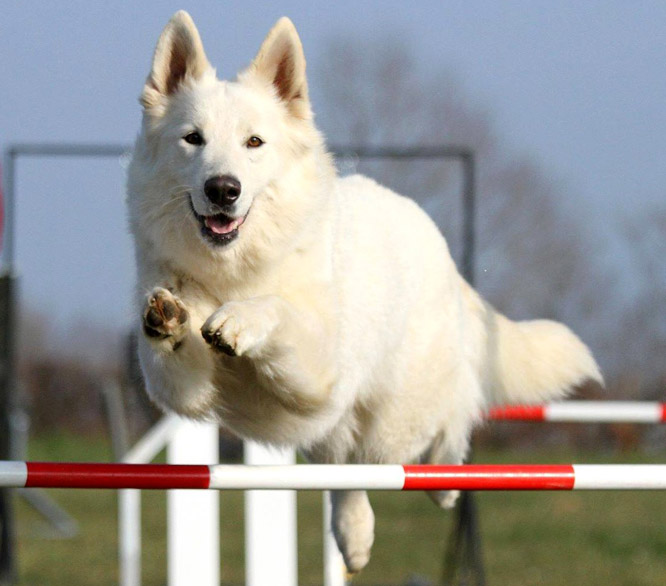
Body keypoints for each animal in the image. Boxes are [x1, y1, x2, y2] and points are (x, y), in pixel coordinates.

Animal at [126, 11, 600, 572]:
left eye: (254, 143)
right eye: (193, 139)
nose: (223, 189)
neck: (234, 273)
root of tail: (435, 241)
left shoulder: (316, 371)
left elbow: (276, 309)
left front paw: (240, 320)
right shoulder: (184, 389)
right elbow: (172, 346)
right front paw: (169, 316)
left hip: (396, 416)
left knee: (452, 415)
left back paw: (444, 481)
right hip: (336, 431)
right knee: (348, 478)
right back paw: (353, 536)